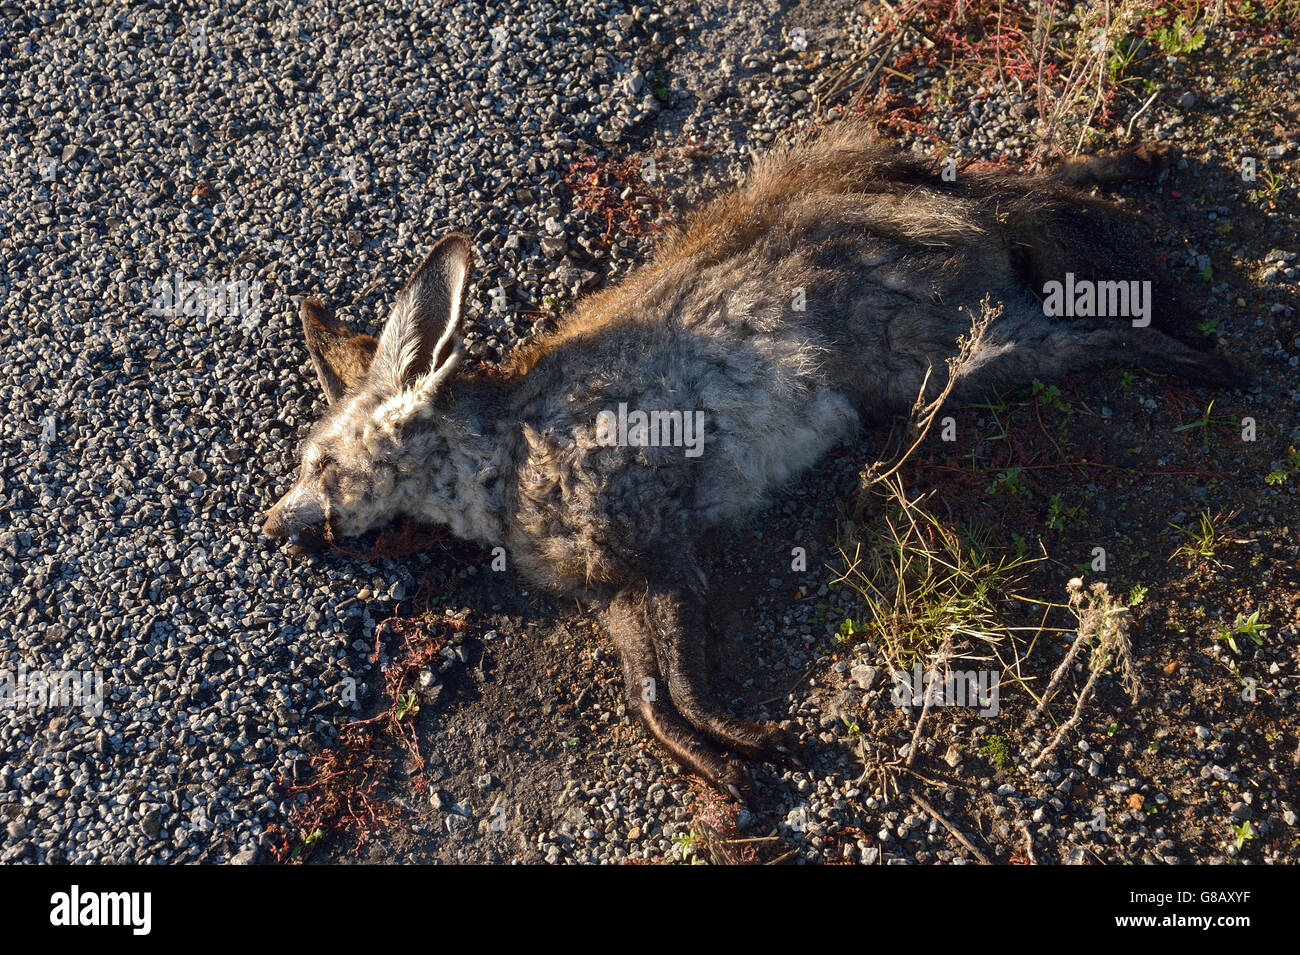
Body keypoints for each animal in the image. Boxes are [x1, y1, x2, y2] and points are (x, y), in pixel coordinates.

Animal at [262, 123, 1239, 801]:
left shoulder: (661, 548)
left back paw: (1202, 350)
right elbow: (650, 695)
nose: (271, 525)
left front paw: (744, 741)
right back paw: (1137, 172)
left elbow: (682, 682)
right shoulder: (615, 584)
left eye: (317, 462)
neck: (501, 466)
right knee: (1021, 185)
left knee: (1077, 291)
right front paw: (721, 765)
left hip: (956, 356)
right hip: (956, 330)